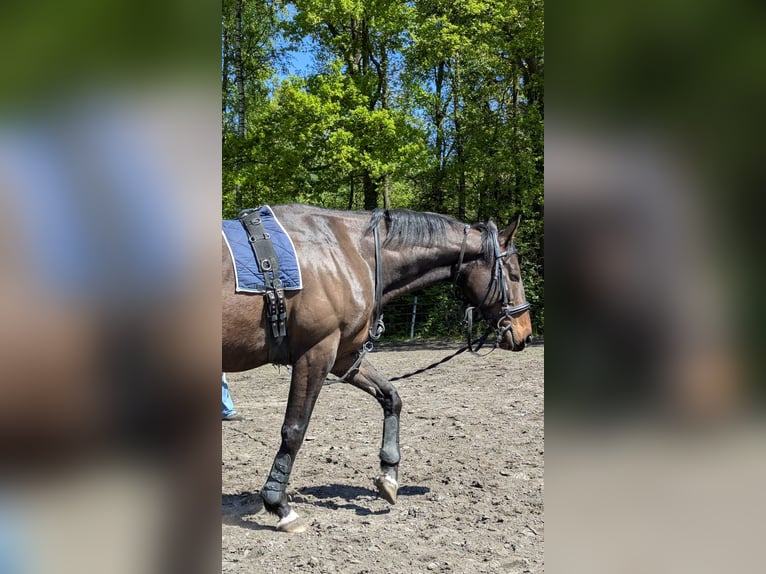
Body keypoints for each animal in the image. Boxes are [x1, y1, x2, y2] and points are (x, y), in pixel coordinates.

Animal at [222, 204, 533, 533]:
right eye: (514, 274)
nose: (526, 334)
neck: (346, 251)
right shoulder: (316, 353)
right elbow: (294, 429)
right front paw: (278, 504)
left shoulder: (344, 355)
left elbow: (390, 397)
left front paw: (389, 474)